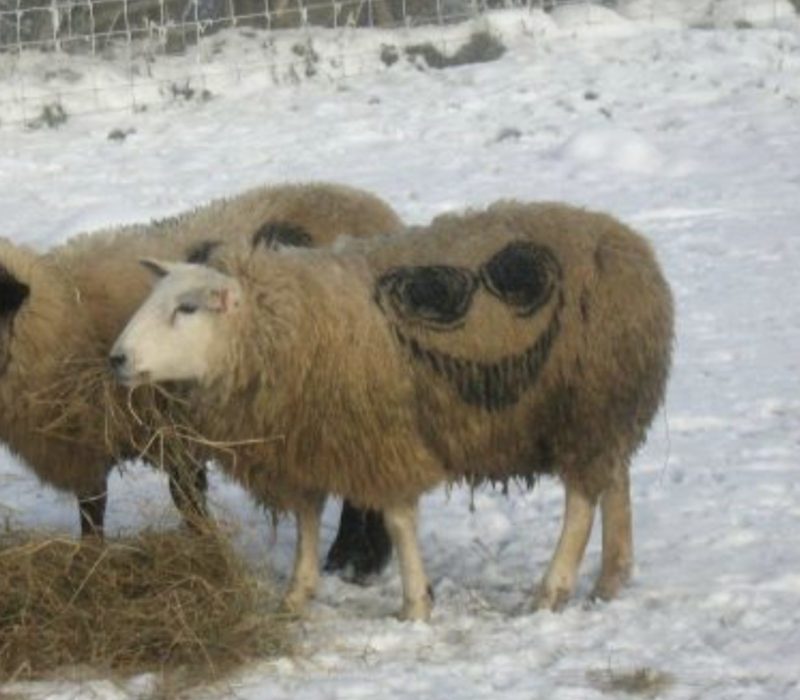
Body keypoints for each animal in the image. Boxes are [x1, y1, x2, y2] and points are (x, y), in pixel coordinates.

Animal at [0, 182, 402, 551]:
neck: (62, 312)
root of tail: (380, 213)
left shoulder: (174, 427)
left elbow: (185, 496)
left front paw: (204, 545)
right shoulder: (91, 443)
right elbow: (93, 509)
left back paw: (353, 558)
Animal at [110, 200, 674, 620]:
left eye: (186, 308)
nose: (116, 359)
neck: (285, 324)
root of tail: (632, 247)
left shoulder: (383, 438)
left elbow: (398, 520)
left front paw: (415, 605)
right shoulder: (308, 440)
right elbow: (307, 520)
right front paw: (296, 594)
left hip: (583, 404)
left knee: (581, 501)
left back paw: (552, 589)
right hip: (606, 407)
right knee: (614, 480)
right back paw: (610, 578)